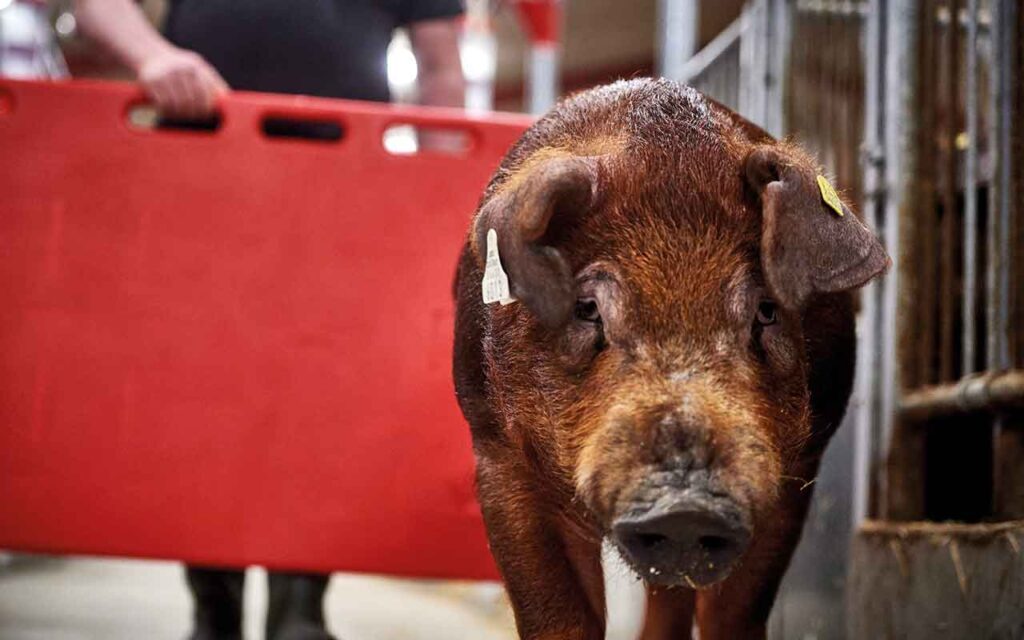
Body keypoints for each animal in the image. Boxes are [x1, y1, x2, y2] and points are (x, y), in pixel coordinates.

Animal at [452, 78, 889, 640]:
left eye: (766, 310)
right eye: (587, 308)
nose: (686, 508)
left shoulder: (793, 476)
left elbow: (734, 616)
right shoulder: (499, 457)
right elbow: (556, 617)